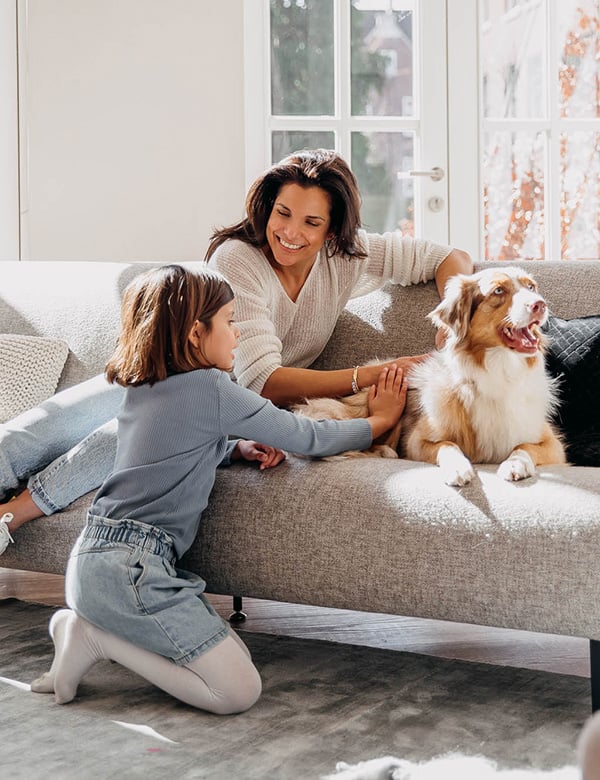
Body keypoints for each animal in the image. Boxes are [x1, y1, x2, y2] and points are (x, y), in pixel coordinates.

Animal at [292, 270, 564, 488]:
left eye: (532, 287)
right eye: (499, 290)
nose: (540, 304)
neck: (499, 369)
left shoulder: (553, 444)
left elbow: (523, 447)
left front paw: (514, 465)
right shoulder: (416, 440)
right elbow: (447, 445)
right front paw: (458, 468)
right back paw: (387, 451)